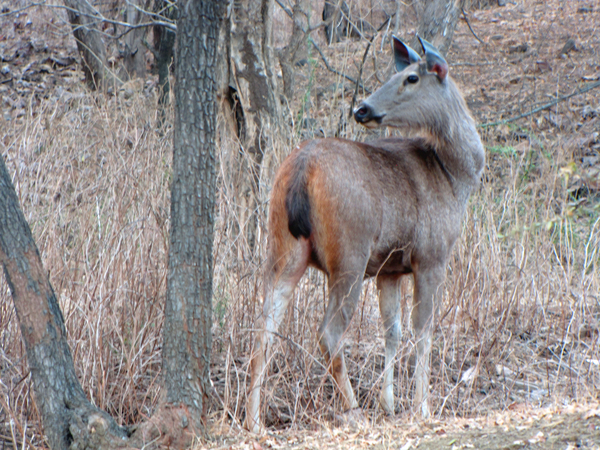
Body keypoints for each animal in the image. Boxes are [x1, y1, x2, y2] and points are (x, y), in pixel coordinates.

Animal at [244, 36, 482, 432]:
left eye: (411, 77)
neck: (454, 176)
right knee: (328, 333)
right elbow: (423, 330)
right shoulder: (431, 256)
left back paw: (253, 420)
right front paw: (422, 407)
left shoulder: (389, 268)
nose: (363, 108)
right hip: (349, 254)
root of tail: (302, 168)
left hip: (283, 248)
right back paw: (353, 411)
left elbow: (392, 330)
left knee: (264, 327)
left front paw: (389, 403)